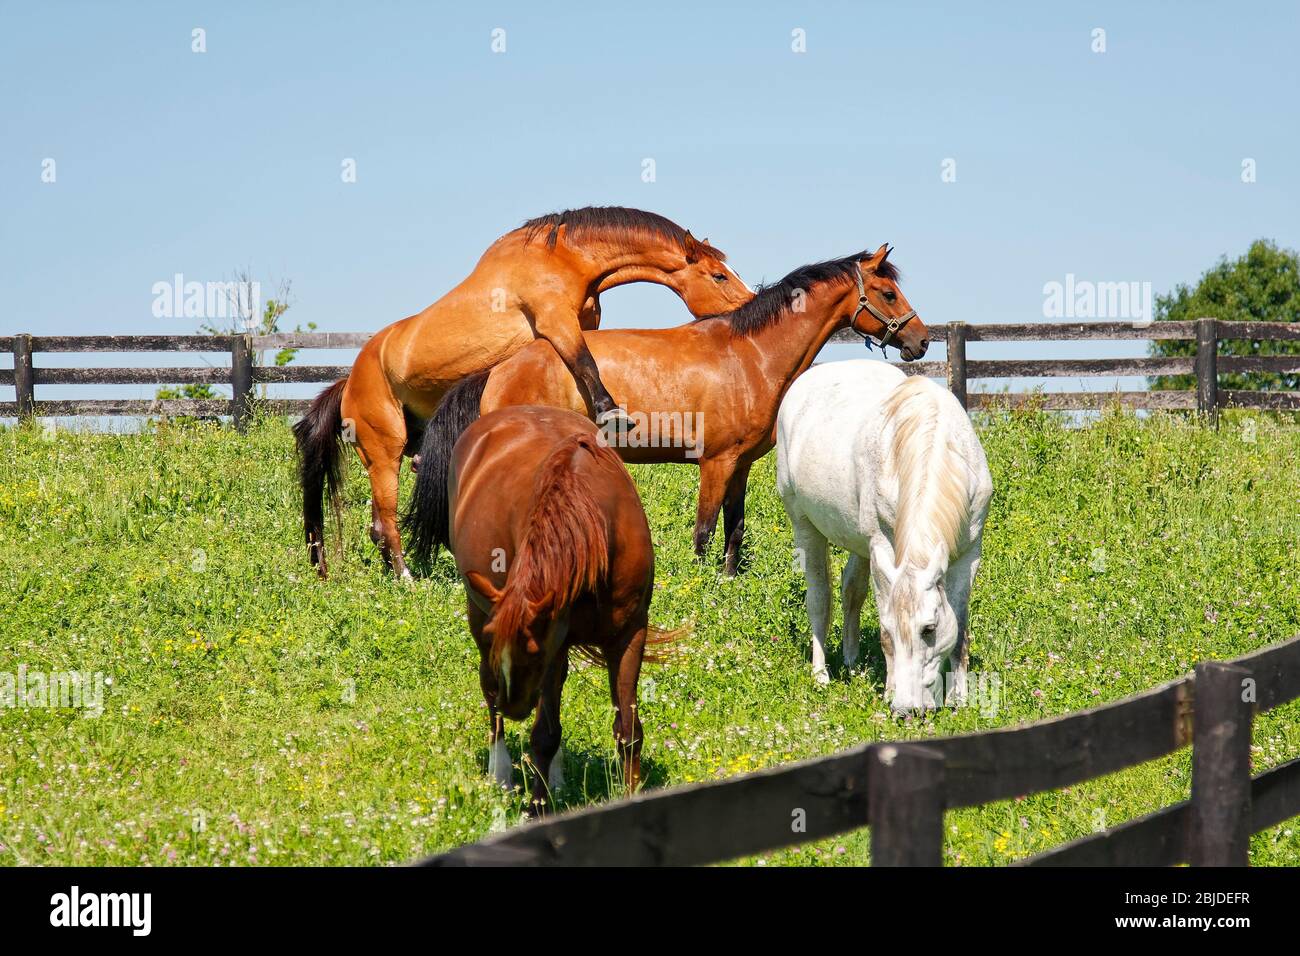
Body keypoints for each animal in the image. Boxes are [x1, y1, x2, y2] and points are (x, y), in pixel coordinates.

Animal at [294, 206, 751, 579]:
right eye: (719, 275)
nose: (751, 302)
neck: (561, 258)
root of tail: (349, 383)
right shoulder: (557, 323)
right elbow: (585, 363)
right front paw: (613, 415)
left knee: (379, 523)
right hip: (383, 450)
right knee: (385, 522)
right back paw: (407, 579)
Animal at [402, 244, 929, 576]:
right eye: (888, 293)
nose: (920, 341)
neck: (751, 354)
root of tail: (499, 369)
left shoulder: (740, 466)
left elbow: (735, 530)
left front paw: (727, 584)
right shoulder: (715, 464)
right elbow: (704, 530)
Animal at [449, 405, 665, 813]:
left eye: (533, 653)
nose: (515, 705)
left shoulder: (628, 634)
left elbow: (628, 731)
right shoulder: (546, 642)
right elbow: (544, 735)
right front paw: (537, 808)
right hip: (479, 613)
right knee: (490, 693)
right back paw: (502, 770)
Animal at [775, 360, 992, 710]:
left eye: (929, 629)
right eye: (890, 628)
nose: (908, 709)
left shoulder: (969, 553)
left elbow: (959, 631)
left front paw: (960, 698)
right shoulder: (883, 550)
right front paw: (890, 690)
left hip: (859, 542)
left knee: (851, 589)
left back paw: (852, 664)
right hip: (803, 523)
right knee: (820, 598)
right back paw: (821, 675)